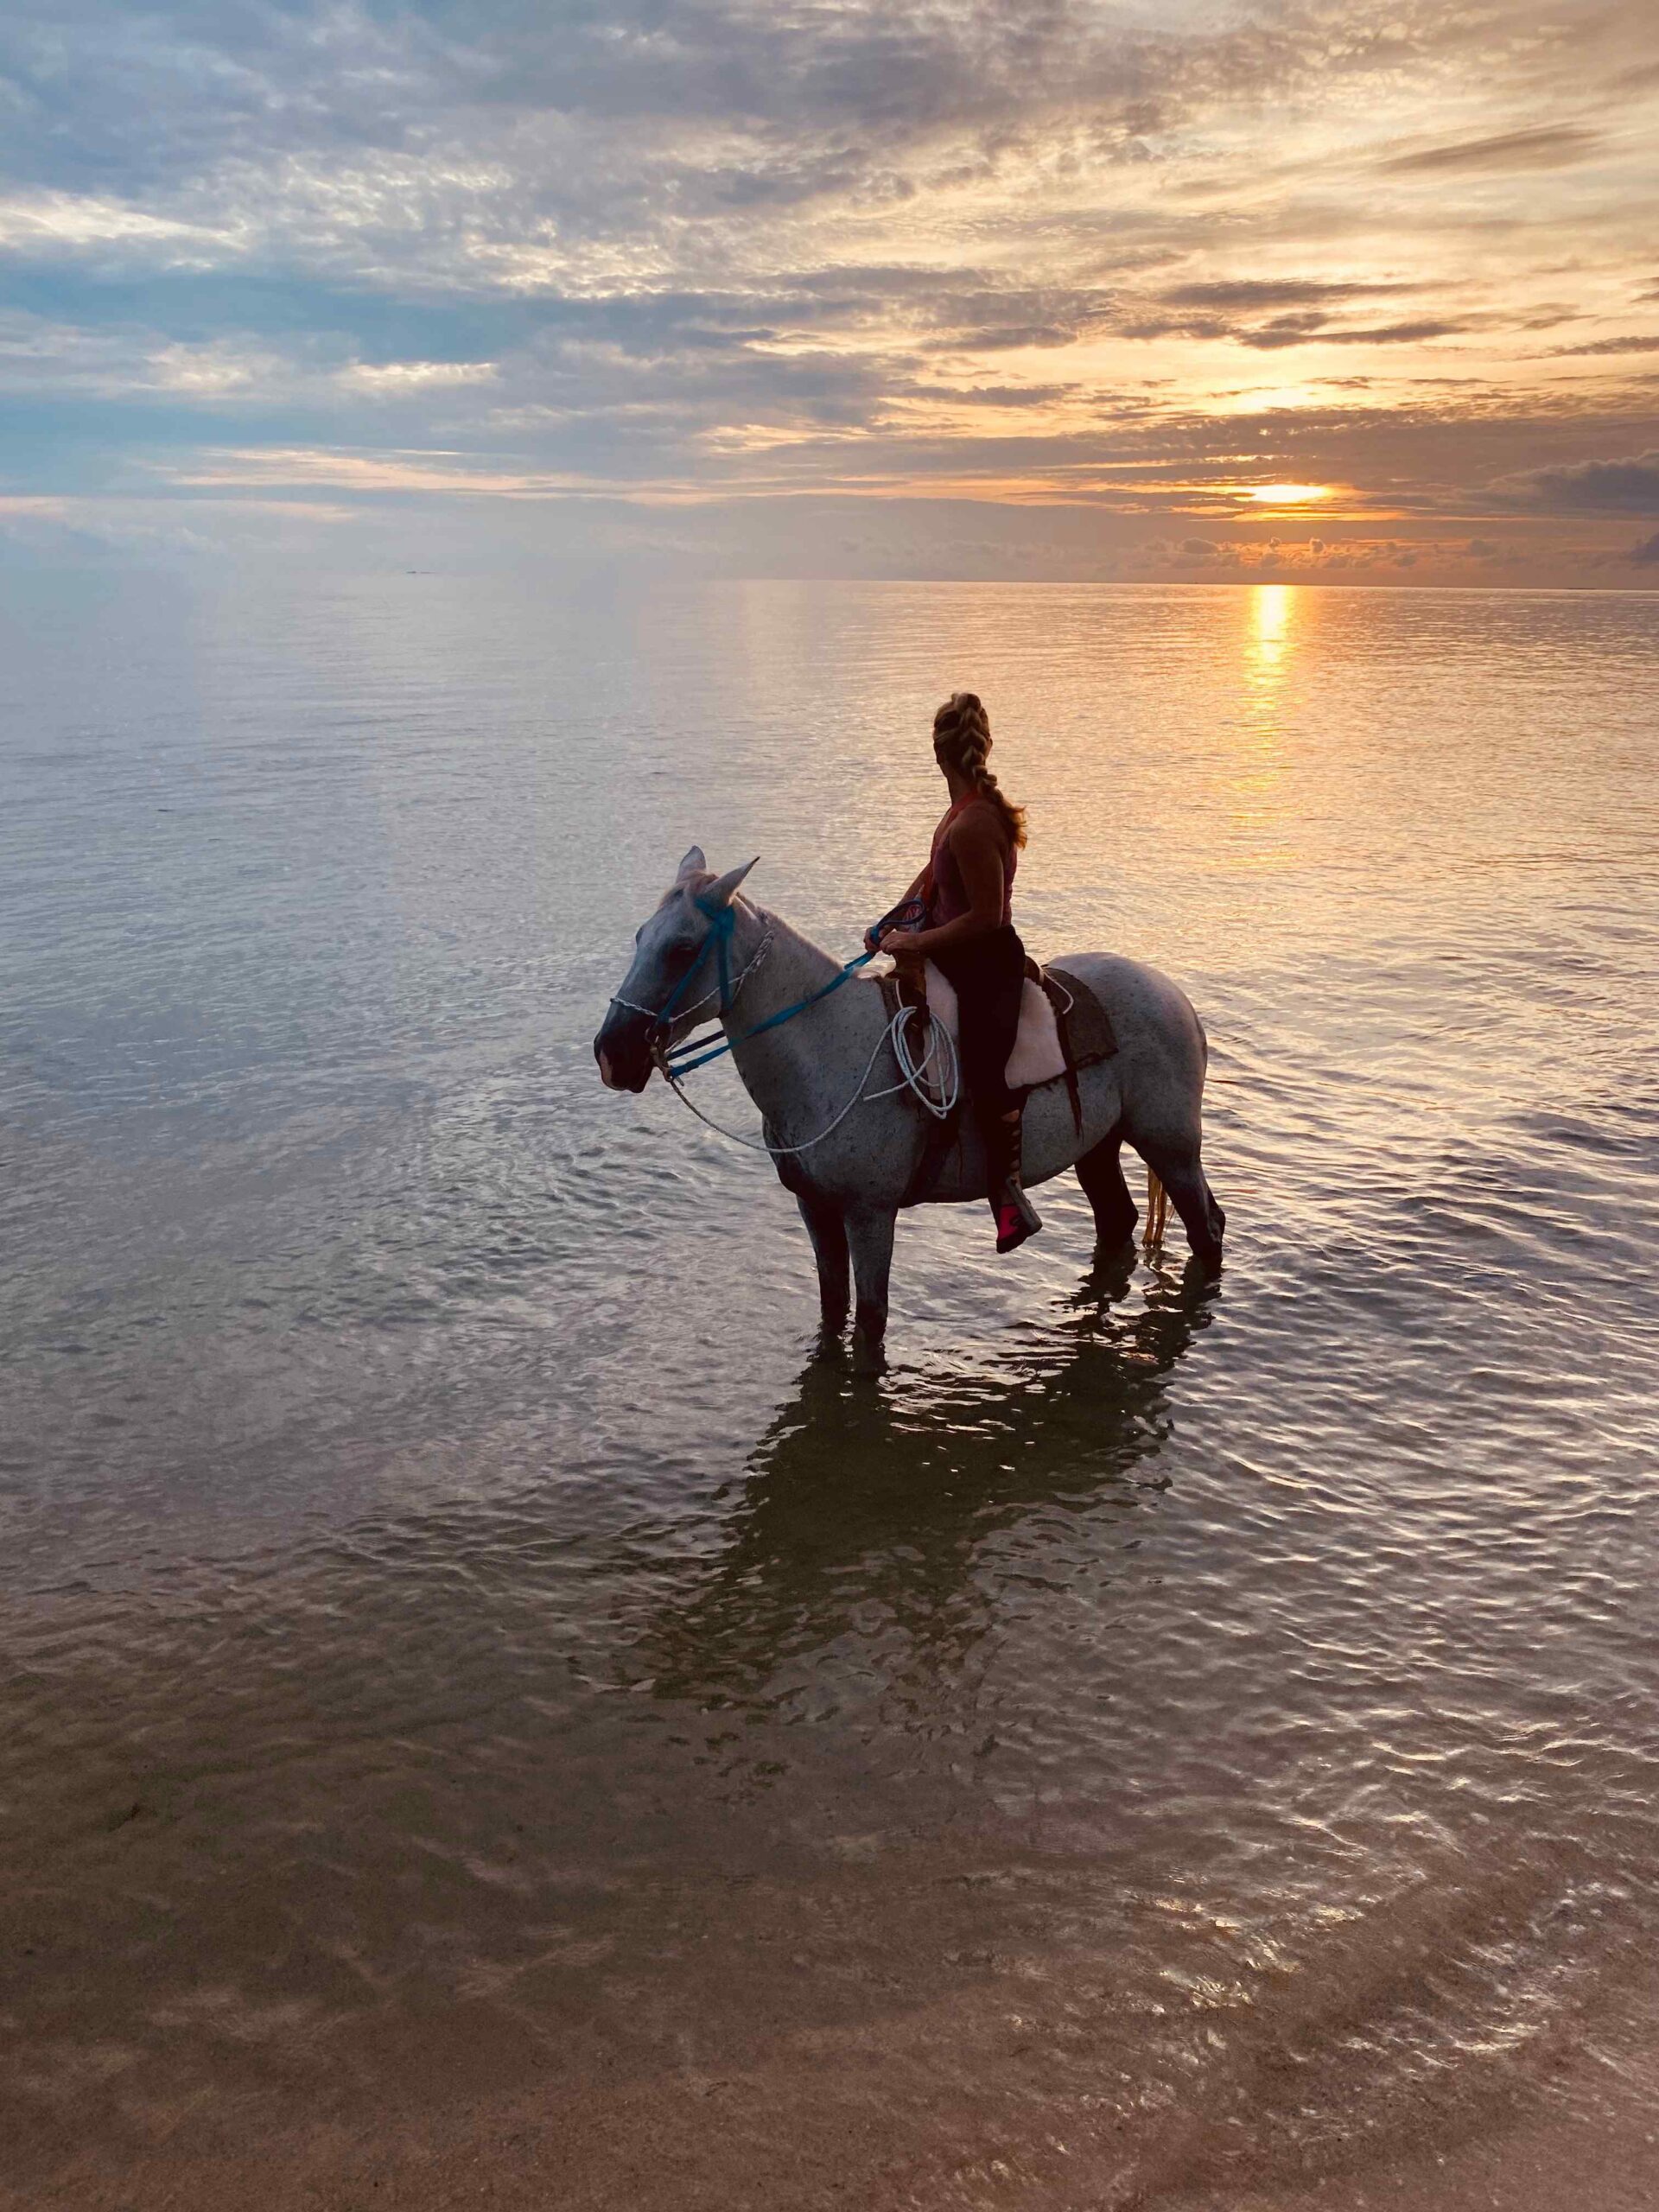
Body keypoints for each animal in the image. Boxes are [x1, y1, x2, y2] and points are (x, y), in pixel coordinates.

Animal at [597, 849, 1221, 1353]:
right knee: (1118, 1221)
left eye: (682, 949)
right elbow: (833, 1310)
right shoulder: (816, 1209)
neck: (829, 1049)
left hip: (1171, 1145)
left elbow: (870, 1323)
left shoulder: (870, 1215)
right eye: (639, 937)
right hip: (1099, 1145)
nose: (611, 1053)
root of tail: (1174, 994)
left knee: (1206, 1226)